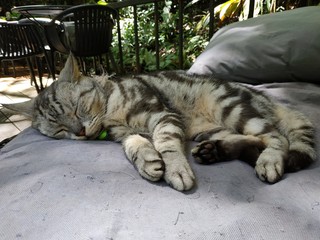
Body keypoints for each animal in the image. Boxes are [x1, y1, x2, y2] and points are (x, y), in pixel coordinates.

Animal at [3, 54, 316, 191]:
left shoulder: (161, 115)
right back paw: (214, 151)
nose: (79, 132)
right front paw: (147, 161)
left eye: (78, 109)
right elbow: (134, 145)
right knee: (251, 142)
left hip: (230, 107)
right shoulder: (123, 133)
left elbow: (166, 143)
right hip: (214, 128)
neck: (110, 108)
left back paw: (270, 160)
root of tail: (266, 98)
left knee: (276, 137)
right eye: (59, 130)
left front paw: (175, 169)